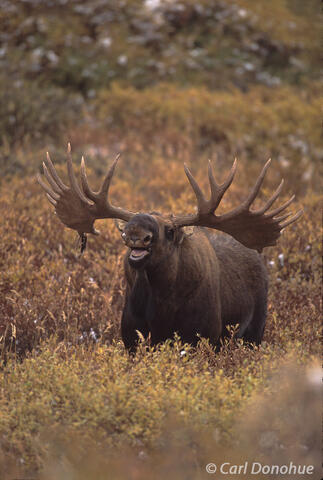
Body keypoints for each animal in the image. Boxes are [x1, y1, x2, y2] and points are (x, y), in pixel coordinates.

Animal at [38, 144, 304, 350]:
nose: (135, 233)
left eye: (170, 230)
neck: (162, 306)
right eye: (129, 223)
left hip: (255, 330)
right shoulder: (132, 338)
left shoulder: (203, 335)